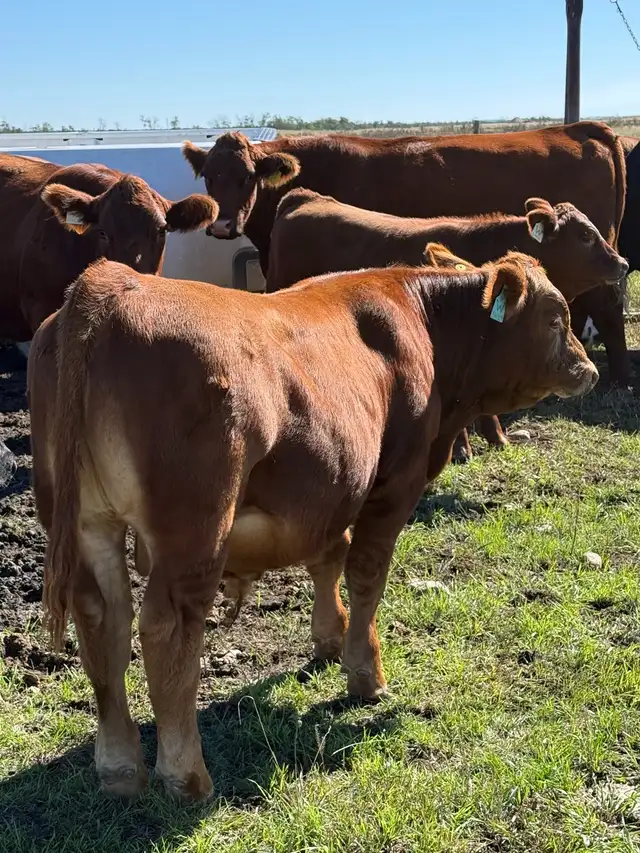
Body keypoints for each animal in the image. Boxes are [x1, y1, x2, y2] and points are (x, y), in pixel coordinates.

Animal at [28, 249, 597, 802]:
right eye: (556, 317)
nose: (588, 369)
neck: (422, 319)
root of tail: (110, 285)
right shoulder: (394, 482)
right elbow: (366, 573)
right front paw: (365, 672)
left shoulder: (330, 490)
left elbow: (328, 557)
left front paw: (329, 639)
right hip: (194, 533)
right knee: (166, 630)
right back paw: (187, 778)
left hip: (86, 524)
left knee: (102, 620)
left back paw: (120, 770)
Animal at [182, 120, 629, 385]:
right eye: (209, 177)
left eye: (247, 177)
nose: (222, 226)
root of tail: (582, 127)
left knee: (608, 305)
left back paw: (619, 378)